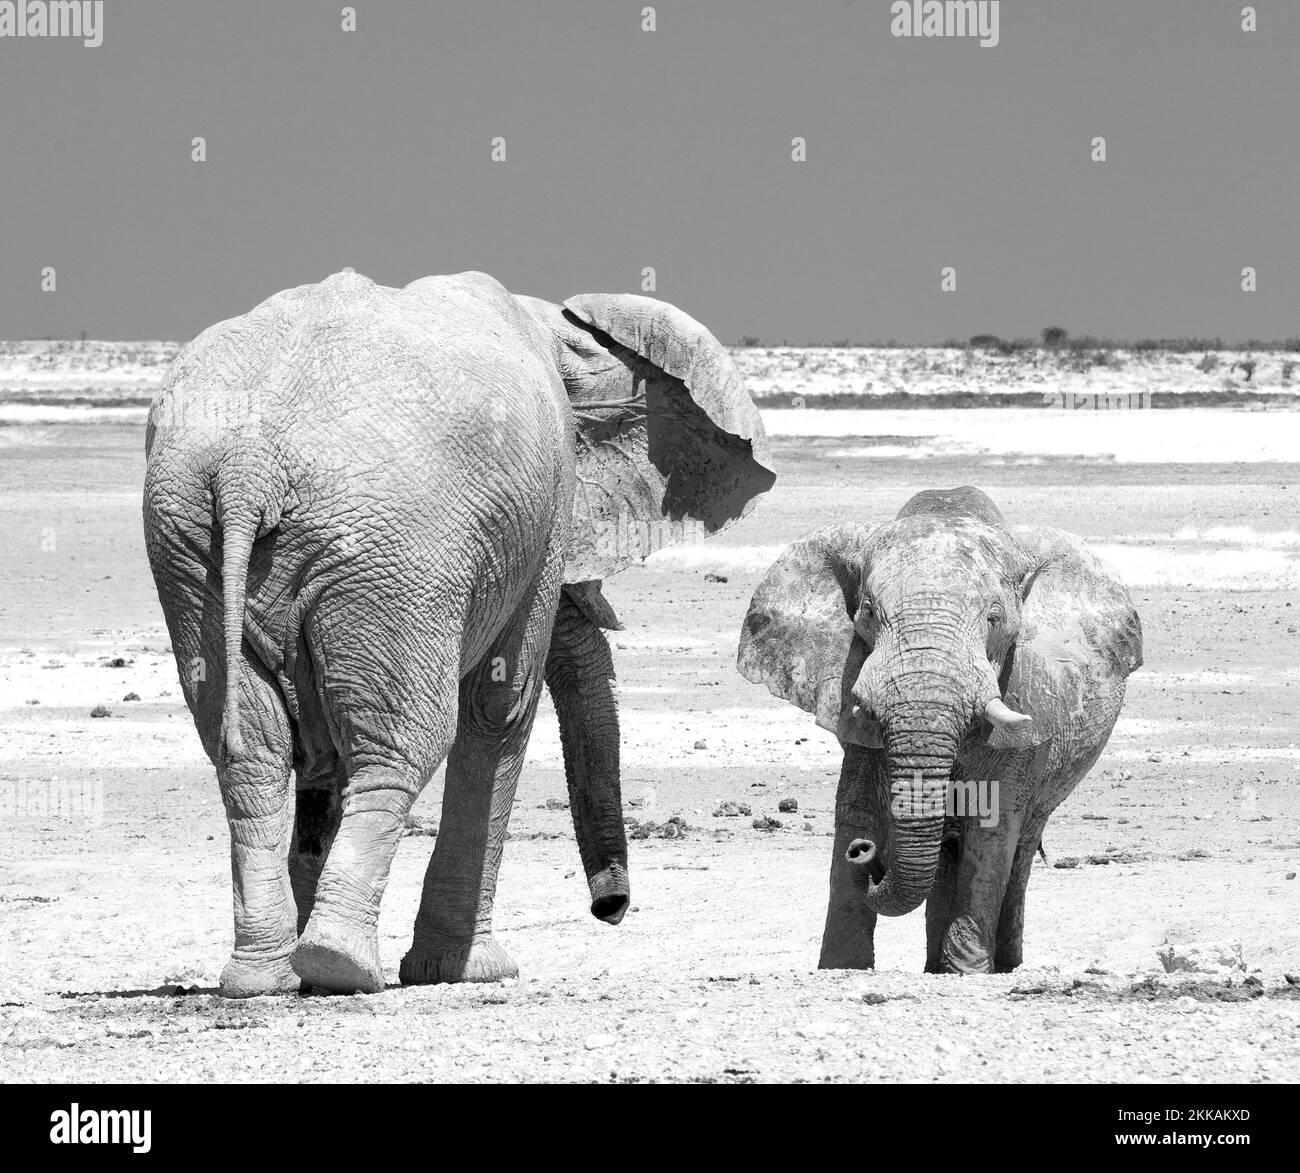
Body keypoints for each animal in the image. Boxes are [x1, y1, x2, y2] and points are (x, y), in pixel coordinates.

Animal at [144, 270, 769, 998]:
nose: (611, 908)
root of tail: (250, 463)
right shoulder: (547, 503)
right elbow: (501, 708)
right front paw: (474, 971)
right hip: (395, 545)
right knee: (403, 741)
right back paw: (338, 965)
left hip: (192, 545)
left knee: (252, 750)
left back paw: (264, 976)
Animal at [738, 486, 1144, 972]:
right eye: (868, 613)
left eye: (993, 619)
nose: (864, 852)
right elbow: (857, 809)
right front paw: (841, 967)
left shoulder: (1026, 698)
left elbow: (991, 831)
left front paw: (967, 973)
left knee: (1020, 852)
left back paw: (1001, 965)